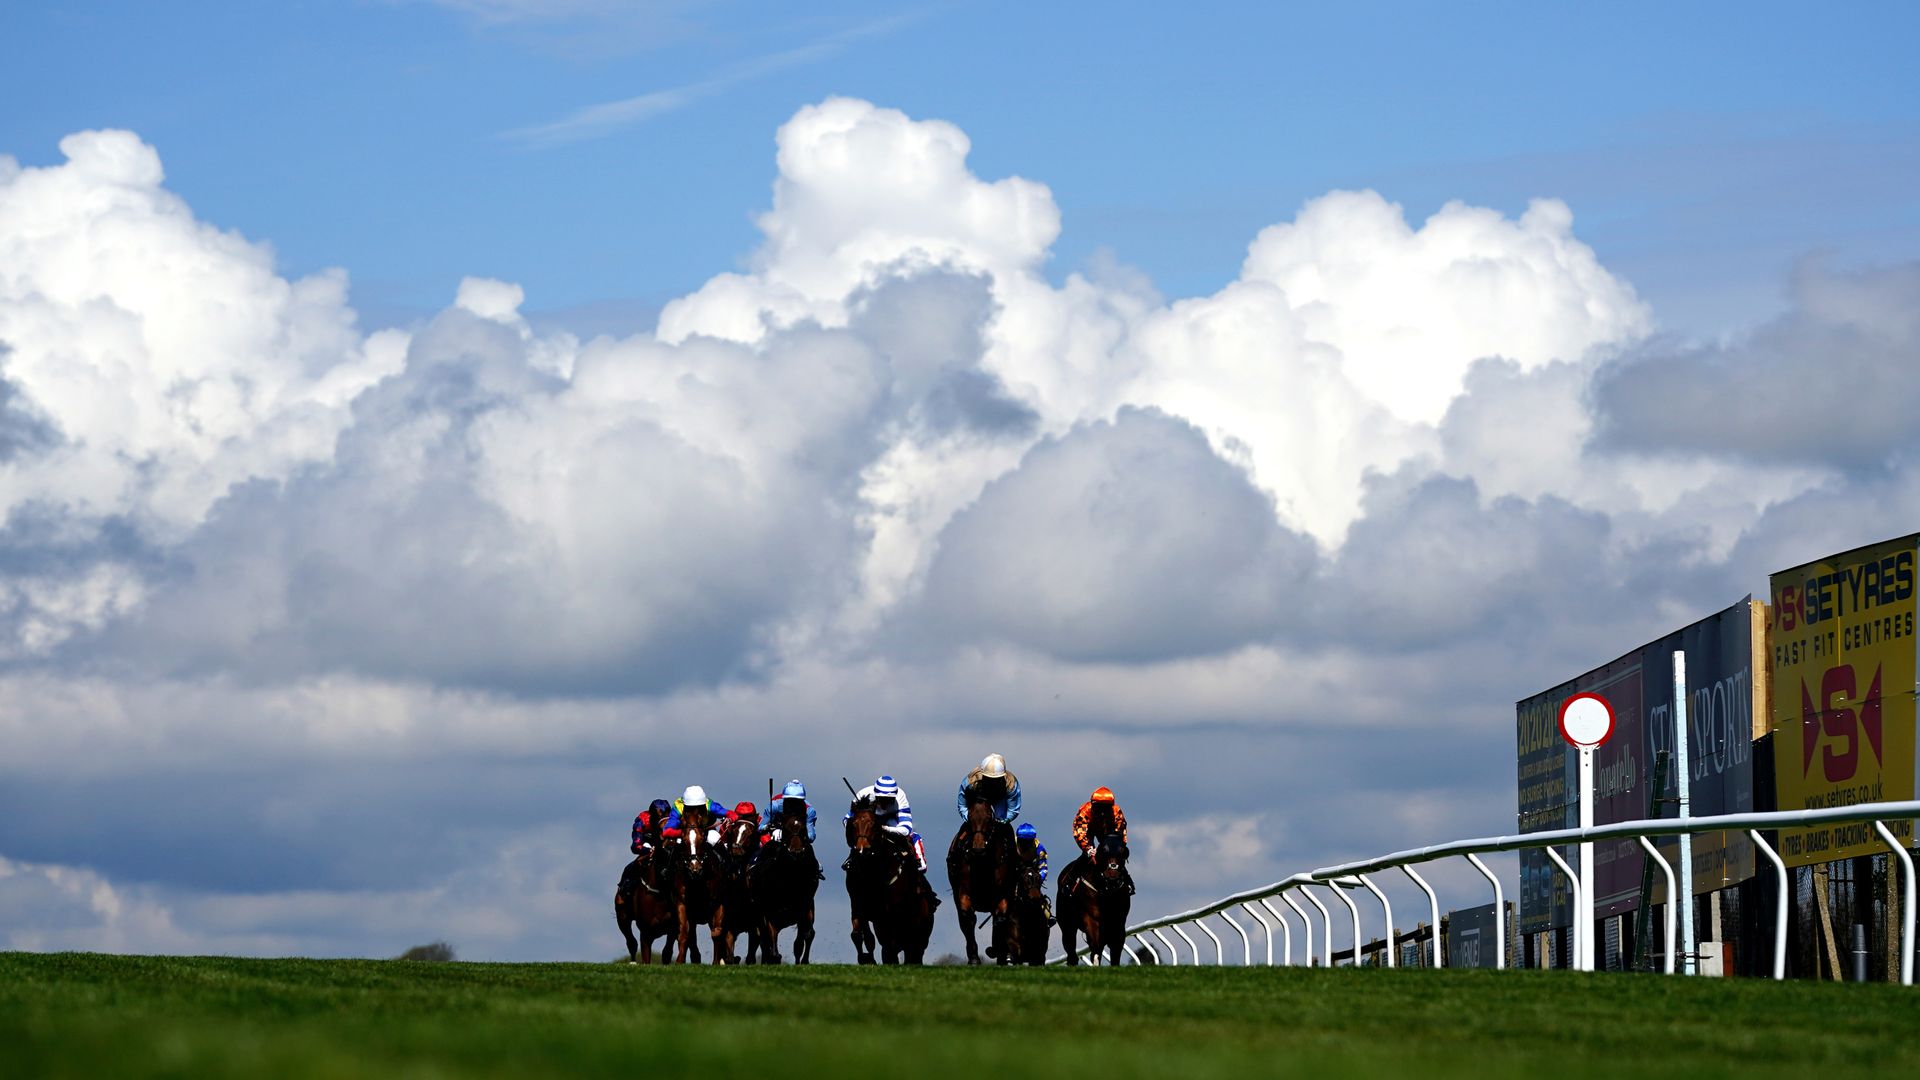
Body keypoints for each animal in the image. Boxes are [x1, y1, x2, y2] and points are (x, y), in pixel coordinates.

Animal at [744, 799, 814, 957]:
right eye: (786, 830)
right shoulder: (769, 913)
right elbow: (772, 943)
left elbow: (804, 938)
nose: (796, 852)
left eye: (803, 829)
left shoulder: (805, 907)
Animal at [844, 795, 933, 960]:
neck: (873, 873)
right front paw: (866, 958)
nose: (862, 850)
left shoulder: (889, 915)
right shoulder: (859, 904)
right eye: (853, 824)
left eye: (874, 825)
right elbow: (860, 936)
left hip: (920, 929)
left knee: (913, 950)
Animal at [948, 795, 1021, 960]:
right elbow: (968, 919)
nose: (978, 849)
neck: (982, 864)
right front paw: (974, 957)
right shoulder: (963, 892)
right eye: (970, 817)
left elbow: (1000, 920)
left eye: (989, 817)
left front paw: (1000, 952)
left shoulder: (1003, 894)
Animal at [1059, 826, 1128, 960]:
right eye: (1103, 850)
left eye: (1123, 850)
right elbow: (1096, 946)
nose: (1112, 873)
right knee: (1072, 952)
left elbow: (1115, 950)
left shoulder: (1118, 923)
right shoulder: (1090, 919)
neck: (1106, 891)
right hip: (1067, 925)